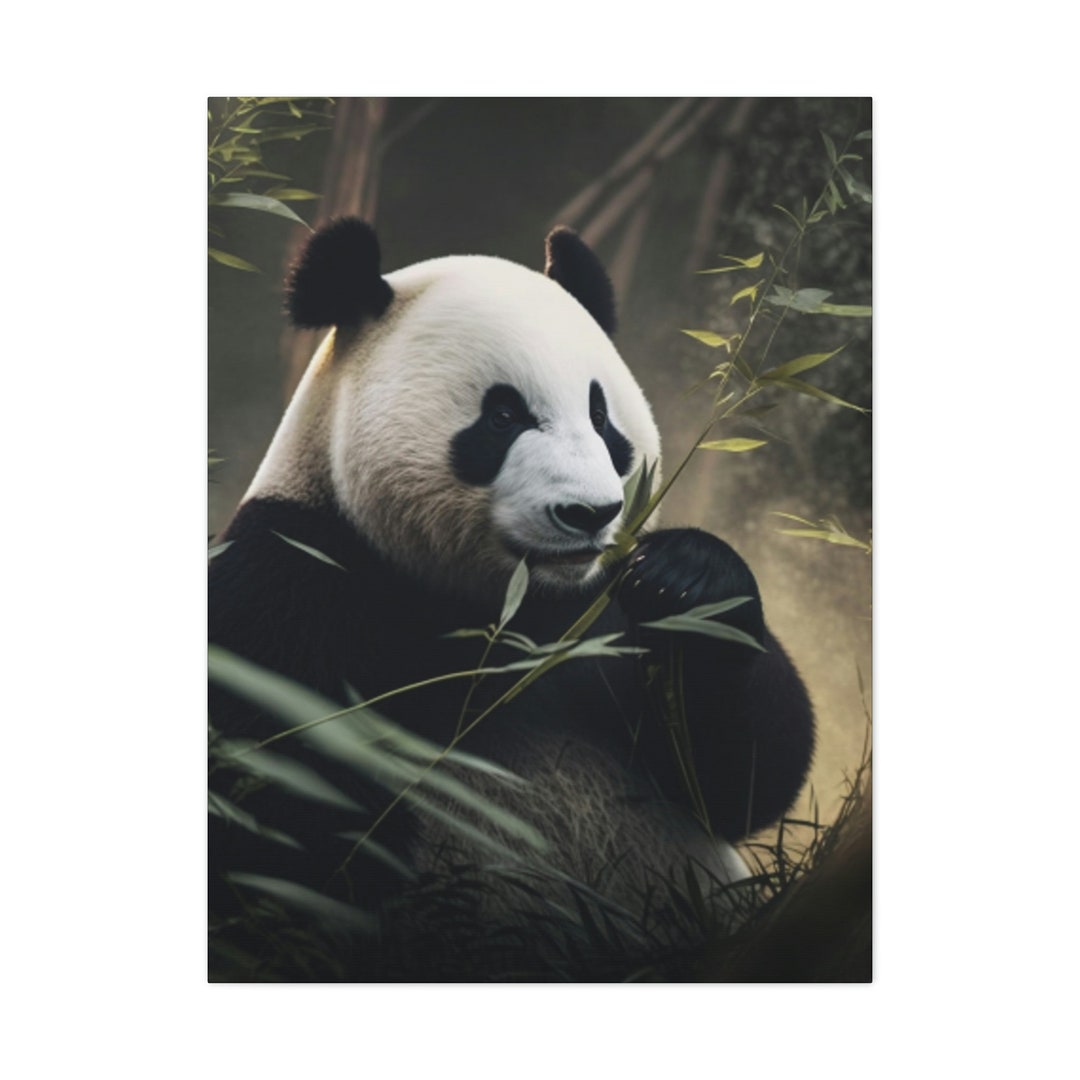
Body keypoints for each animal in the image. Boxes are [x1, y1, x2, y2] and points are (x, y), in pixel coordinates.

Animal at [208, 218, 814, 976]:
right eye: (501, 417)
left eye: (601, 417)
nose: (588, 514)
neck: (503, 611)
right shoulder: (295, 584)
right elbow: (276, 827)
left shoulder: (596, 615)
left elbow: (744, 773)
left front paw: (688, 578)